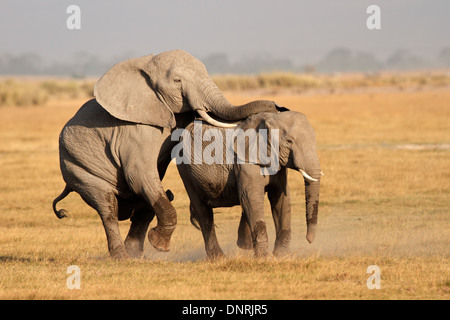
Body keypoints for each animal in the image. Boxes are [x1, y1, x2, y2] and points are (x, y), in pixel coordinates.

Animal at [51, 50, 278, 260]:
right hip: (77, 168)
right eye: (177, 81)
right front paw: (159, 245)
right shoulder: (134, 132)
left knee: (152, 199)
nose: (278, 106)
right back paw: (122, 257)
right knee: (108, 206)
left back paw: (136, 255)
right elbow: (138, 176)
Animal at [172, 109, 320, 258]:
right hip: (185, 170)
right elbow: (251, 198)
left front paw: (281, 256)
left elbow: (281, 199)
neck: (270, 117)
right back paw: (219, 258)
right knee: (203, 212)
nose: (309, 240)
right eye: (289, 141)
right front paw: (265, 258)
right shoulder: (243, 162)